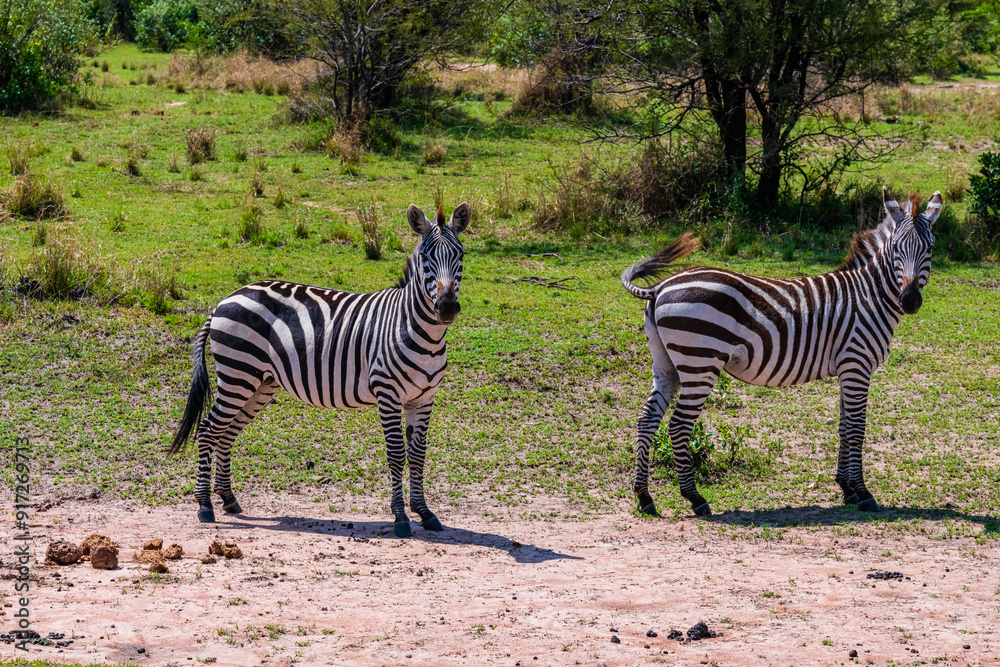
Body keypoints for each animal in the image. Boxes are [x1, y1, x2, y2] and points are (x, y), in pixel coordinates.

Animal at [170, 202, 471, 538]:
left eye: (460, 255)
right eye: (425, 258)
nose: (446, 308)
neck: (419, 331)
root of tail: (225, 299)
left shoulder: (424, 397)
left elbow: (418, 454)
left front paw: (425, 512)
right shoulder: (388, 393)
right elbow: (396, 454)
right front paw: (401, 517)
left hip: (258, 383)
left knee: (226, 432)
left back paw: (228, 499)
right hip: (238, 374)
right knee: (209, 428)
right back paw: (205, 505)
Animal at [620, 188, 942, 517]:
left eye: (929, 248)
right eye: (896, 249)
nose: (910, 300)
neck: (869, 296)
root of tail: (659, 288)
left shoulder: (847, 369)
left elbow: (843, 426)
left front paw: (846, 488)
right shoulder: (857, 365)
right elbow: (856, 428)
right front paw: (862, 492)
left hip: (667, 364)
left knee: (647, 419)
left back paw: (644, 497)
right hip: (700, 362)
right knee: (678, 426)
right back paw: (695, 498)